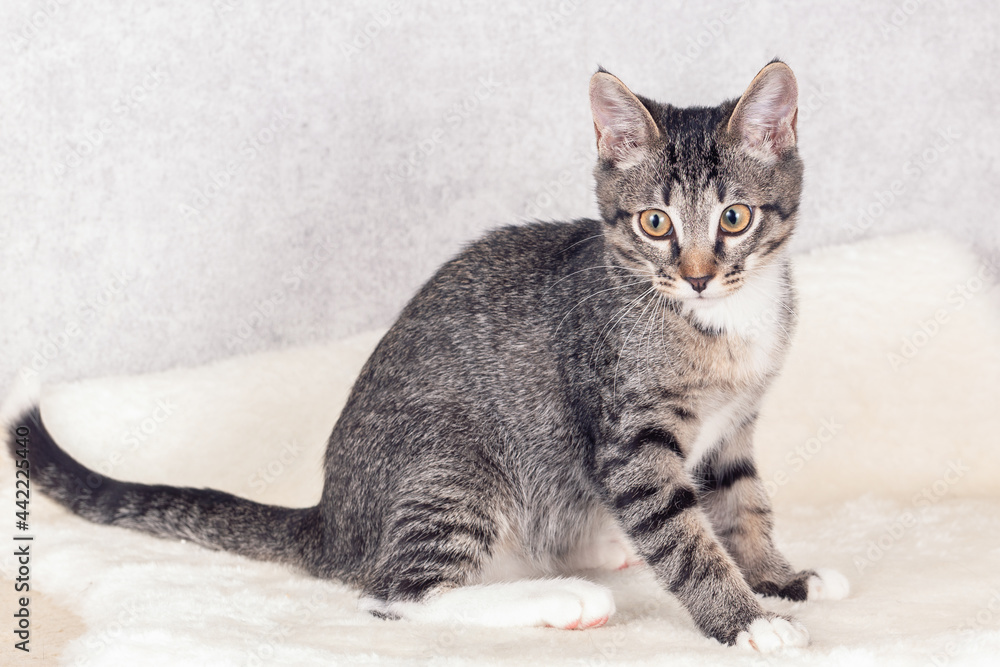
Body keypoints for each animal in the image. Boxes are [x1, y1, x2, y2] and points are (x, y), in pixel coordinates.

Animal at [11, 61, 848, 652]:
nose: (699, 273)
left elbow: (741, 503)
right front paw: (743, 617)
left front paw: (780, 577)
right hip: (453, 457)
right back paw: (561, 596)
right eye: (654, 223)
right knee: (395, 593)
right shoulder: (629, 436)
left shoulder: (732, 428)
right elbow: (682, 533)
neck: (716, 319)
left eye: (734, 218)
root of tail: (333, 519)